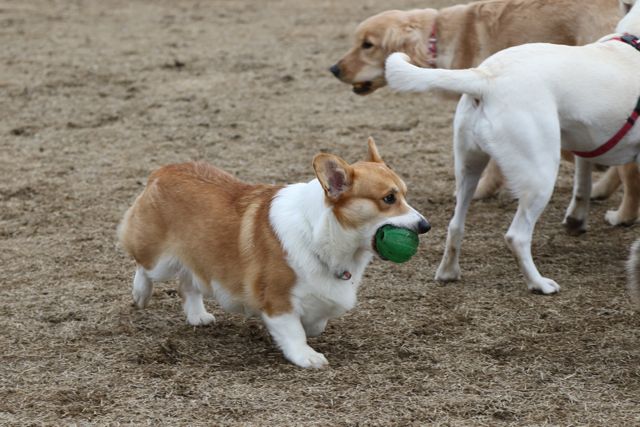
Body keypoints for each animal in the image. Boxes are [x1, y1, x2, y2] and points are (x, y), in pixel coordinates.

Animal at [119, 139, 430, 370]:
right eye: (388, 198)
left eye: (404, 194)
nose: (425, 226)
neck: (323, 232)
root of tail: (161, 171)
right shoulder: (277, 300)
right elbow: (294, 332)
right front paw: (307, 356)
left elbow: (315, 323)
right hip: (158, 260)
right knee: (143, 266)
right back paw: (140, 294)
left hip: (199, 254)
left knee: (188, 283)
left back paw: (197, 316)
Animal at [330, 0, 640, 227]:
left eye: (367, 45)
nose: (333, 68)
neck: (440, 37)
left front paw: (483, 189)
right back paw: (601, 190)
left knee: (627, 169)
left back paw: (623, 213)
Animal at [384, 0, 640, 294]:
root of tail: (485, 77)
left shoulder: (586, 139)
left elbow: (582, 183)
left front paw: (576, 220)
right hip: (540, 175)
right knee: (516, 236)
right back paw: (539, 283)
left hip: (469, 167)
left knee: (455, 224)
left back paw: (448, 272)